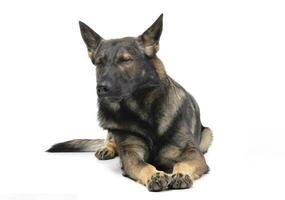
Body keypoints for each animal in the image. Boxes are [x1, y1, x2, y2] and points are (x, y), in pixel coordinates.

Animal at [47, 14, 211, 192]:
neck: (143, 111)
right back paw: (106, 148)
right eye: (99, 63)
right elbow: (144, 165)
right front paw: (154, 175)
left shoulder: (192, 152)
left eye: (125, 60)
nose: (101, 88)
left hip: (207, 135)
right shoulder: (131, 153)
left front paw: (181, 174)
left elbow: (183, 163)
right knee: (110, 138)